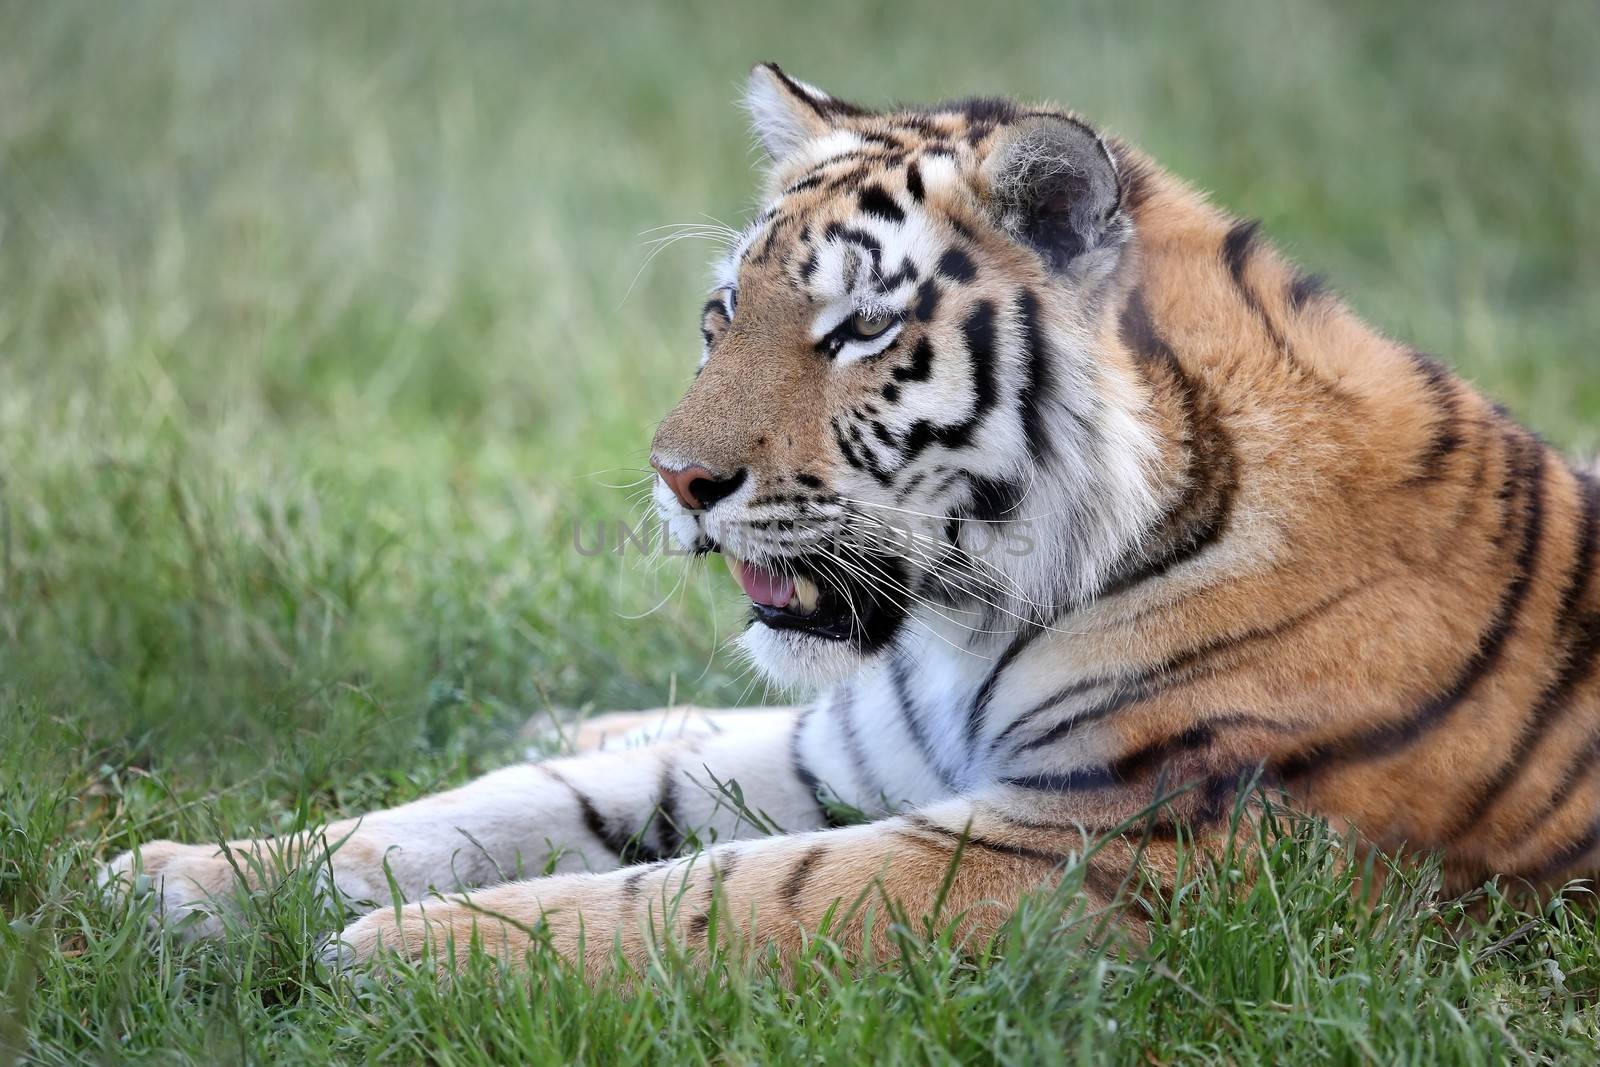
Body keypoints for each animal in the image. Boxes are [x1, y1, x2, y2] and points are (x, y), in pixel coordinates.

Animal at [103, 60, 1600, 979]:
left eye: (860, 329)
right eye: (725, 312)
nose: (675, 477)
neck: (975, 625)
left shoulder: (1091, 847)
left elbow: (720, 889)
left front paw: (403, 952)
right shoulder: (859, 747)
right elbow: (508, 800)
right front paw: (184, 874)